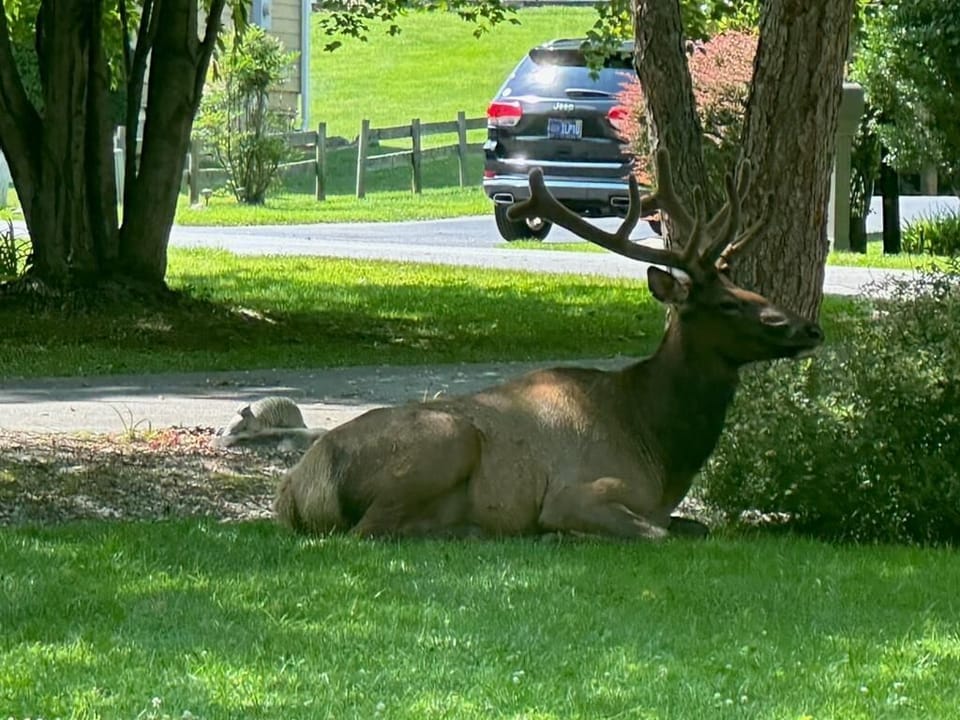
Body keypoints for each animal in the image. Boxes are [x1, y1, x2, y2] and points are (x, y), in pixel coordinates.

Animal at [274, 148, 824, 540]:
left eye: (750, 288)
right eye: (728, 303)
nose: (809, 329)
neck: (659, 447)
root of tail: (296, 488)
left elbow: (698, 527)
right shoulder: (576, 492)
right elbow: (658, 533)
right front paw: (560, 535)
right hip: (446, 439)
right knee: (369, 531)